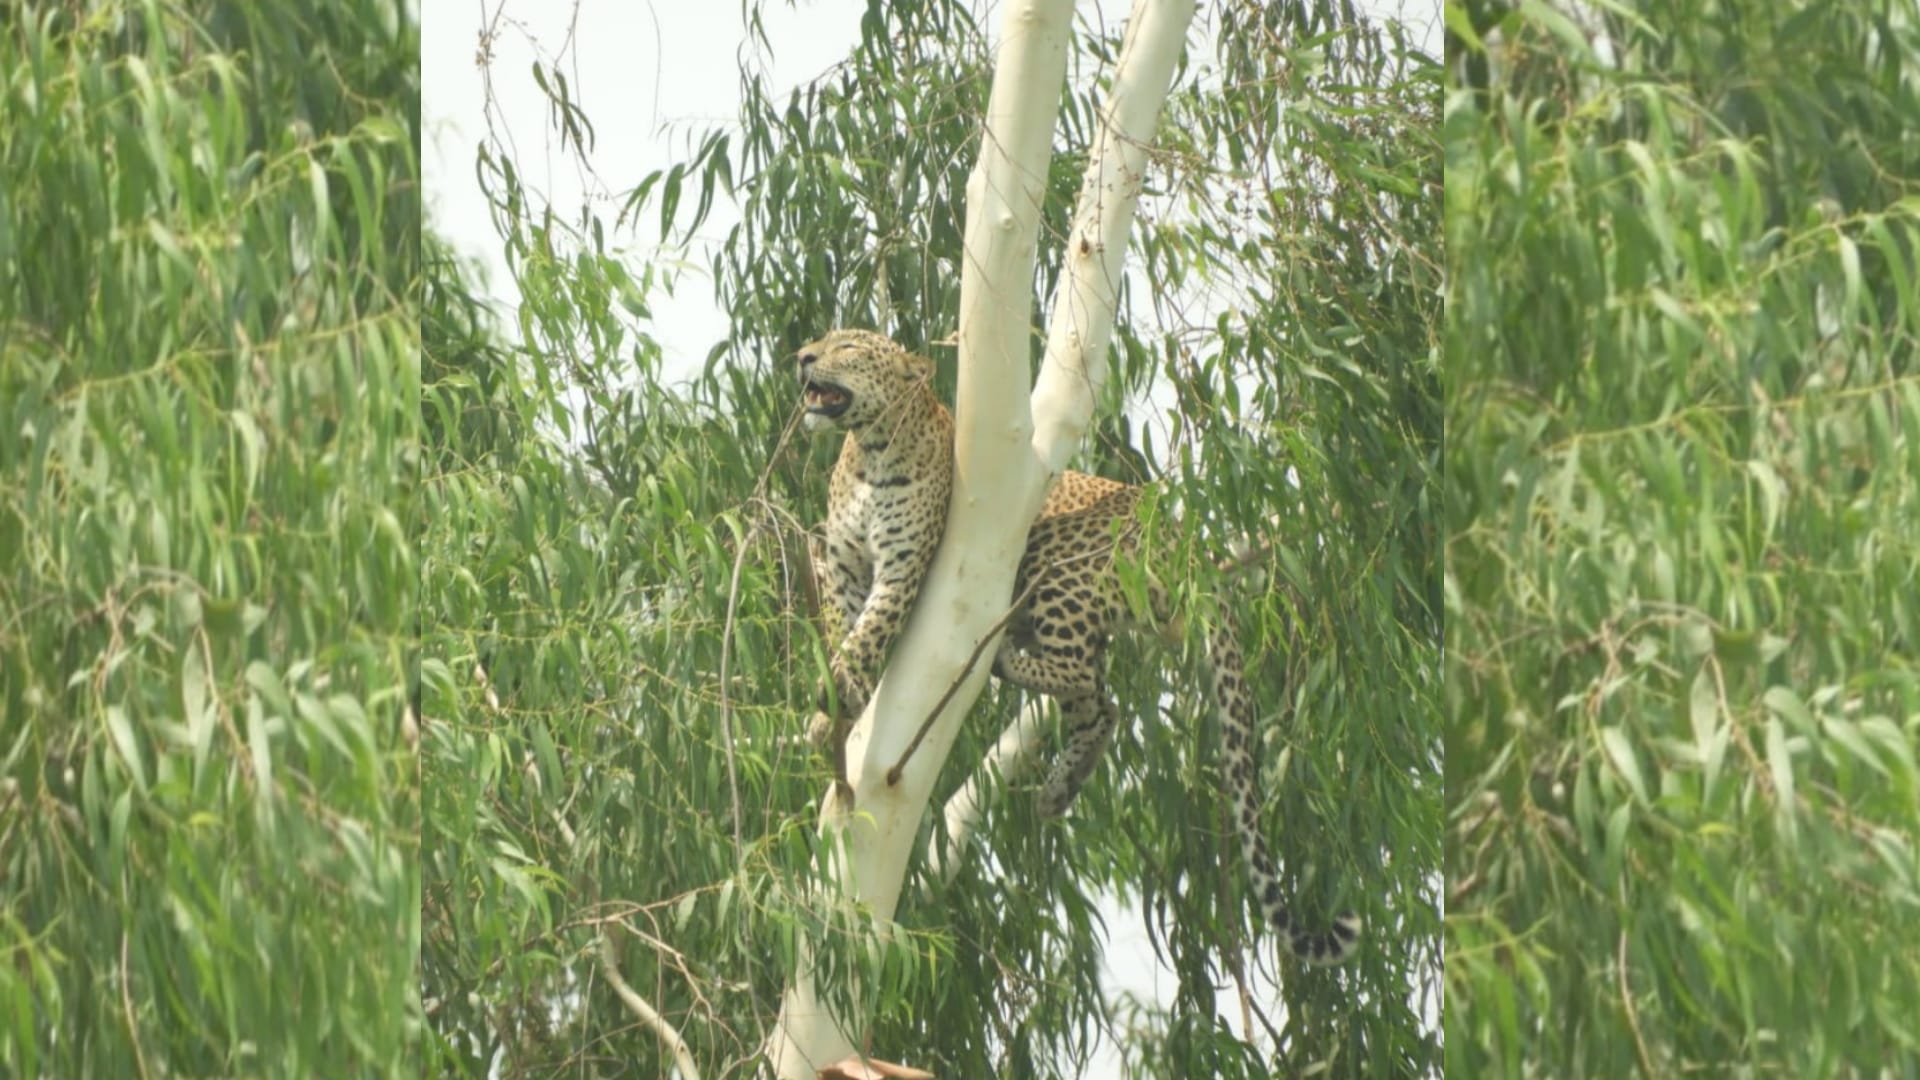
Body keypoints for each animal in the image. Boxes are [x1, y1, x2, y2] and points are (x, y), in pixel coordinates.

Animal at [795, 328, 1359, 966]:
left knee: (1085, 679)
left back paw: (1007, 666)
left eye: (847, 346)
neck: (870, 454)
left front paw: (836, 698)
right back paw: (1058, 791)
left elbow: (867, 635)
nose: (802, 357)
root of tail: (1188, 545)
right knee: (1103, 704)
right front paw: (835, 715)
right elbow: (842, 630)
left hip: (1056, 563)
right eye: (823, 340)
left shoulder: (902, 570)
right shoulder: (844, 567)